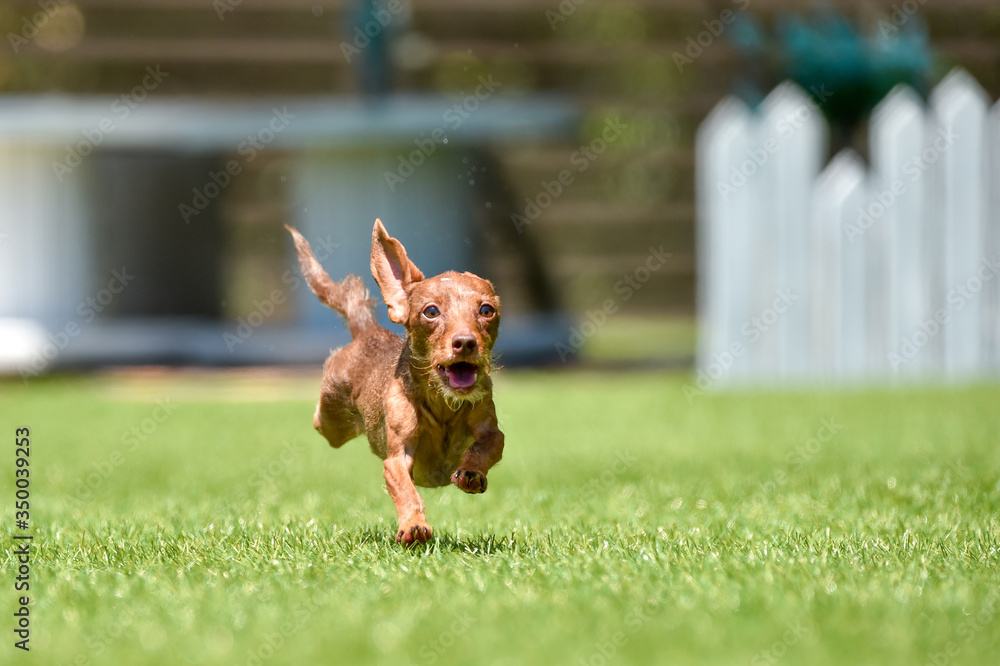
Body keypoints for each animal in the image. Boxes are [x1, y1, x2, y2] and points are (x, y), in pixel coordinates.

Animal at [286, 220, 504, 544]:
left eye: (487, 310)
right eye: (431, 311)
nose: (465, 342)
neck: (444, 406)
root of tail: (368, 330)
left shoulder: (492, 432)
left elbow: (482, 447)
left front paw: (471, 472)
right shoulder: (397, 458)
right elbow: (406, 492)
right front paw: (413, 525)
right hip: (333, 420)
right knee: (320, 420)